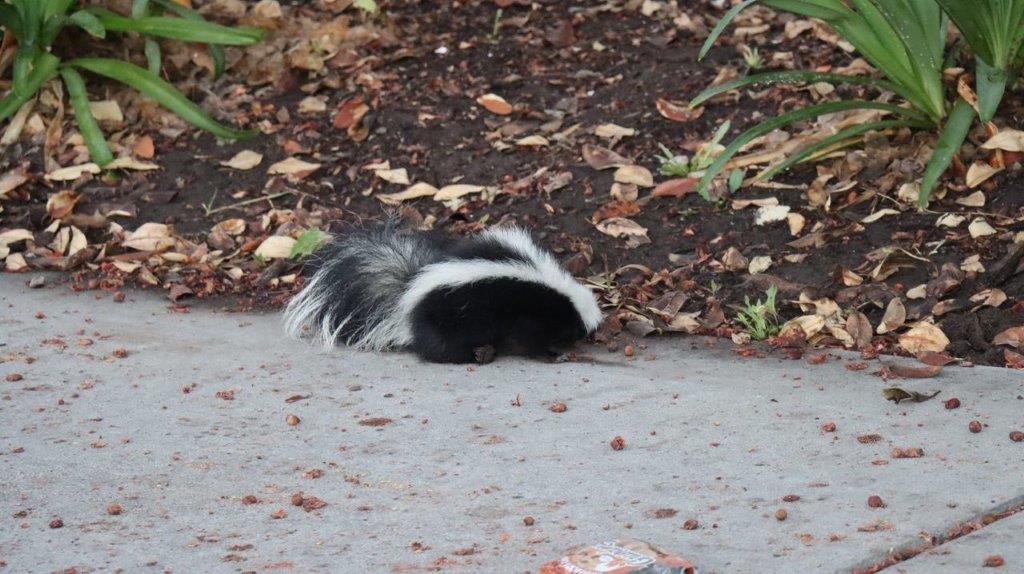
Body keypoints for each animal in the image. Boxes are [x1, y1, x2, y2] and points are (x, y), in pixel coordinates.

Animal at [282, 219, 598, 362]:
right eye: (576, 331)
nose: (585, 340)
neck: (560, 294)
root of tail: (407, 291)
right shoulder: (529, 315)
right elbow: (527, 341)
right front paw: (552, 355)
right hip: (444, 321)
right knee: (441, 349)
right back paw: (477, 355)